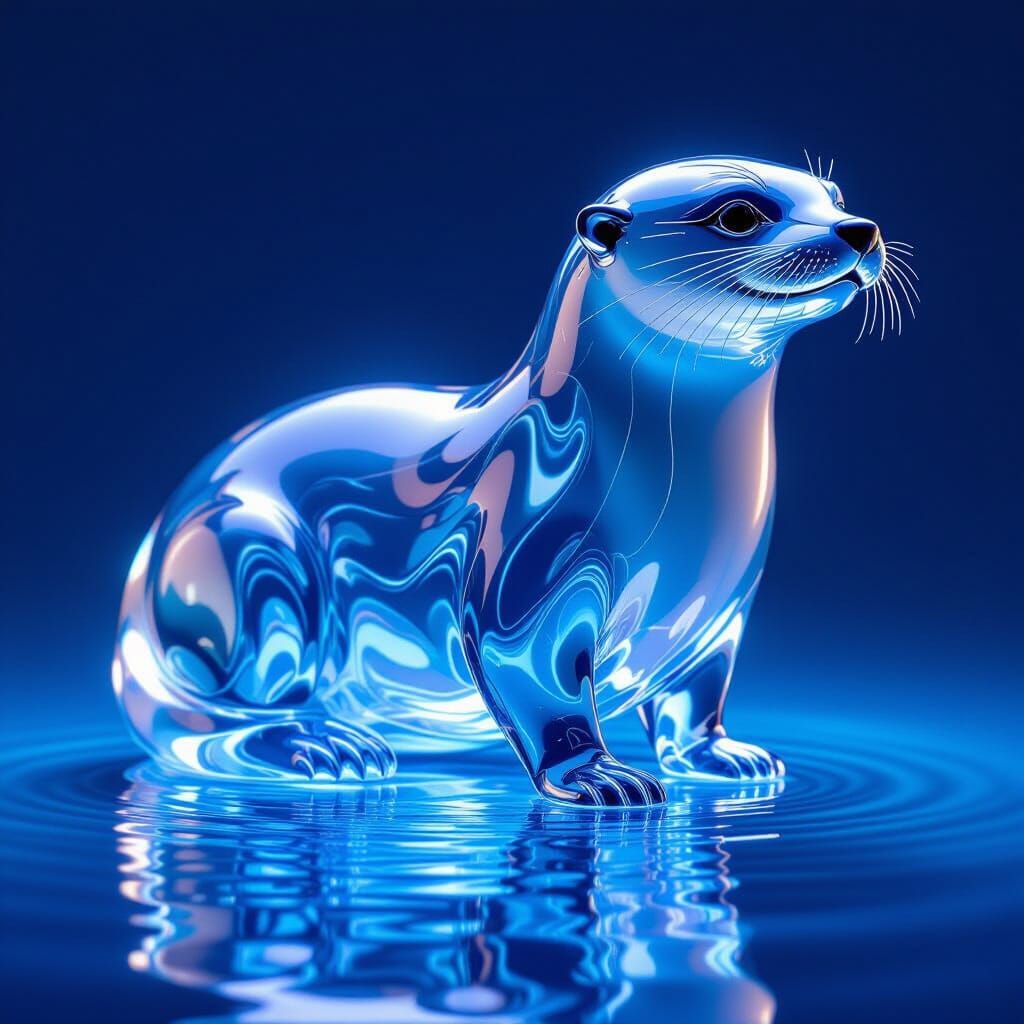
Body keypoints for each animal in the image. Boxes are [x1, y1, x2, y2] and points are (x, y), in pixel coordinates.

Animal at [113, 156, 909, 807]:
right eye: (740, 213)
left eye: (836, 195)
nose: (860, 229)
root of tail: (153, 539)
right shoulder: (527, 562)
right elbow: (532, 676)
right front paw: (596, 776)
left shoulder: (724, 614)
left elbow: (698, 699)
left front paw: (724, 758)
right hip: (251, 557)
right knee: (226, 715)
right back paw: (322, 745)